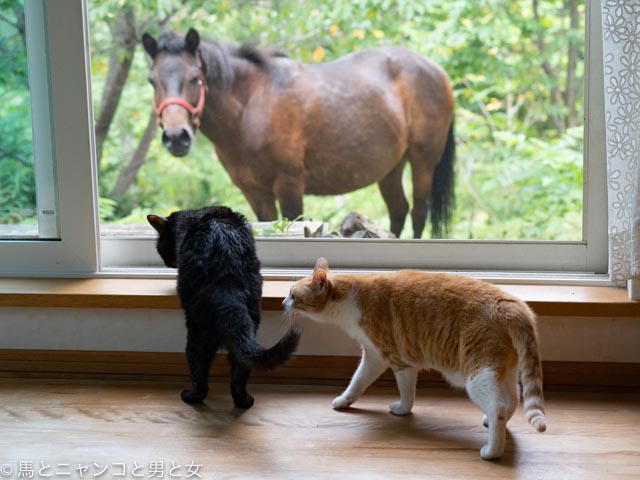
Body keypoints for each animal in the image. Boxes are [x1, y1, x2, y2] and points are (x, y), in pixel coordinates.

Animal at [142, 28, 455, 238]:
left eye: (195, 78)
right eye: (152, 80)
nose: (176, 137)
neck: (251, 107)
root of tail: (438, 71)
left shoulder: (289, 185)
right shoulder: (255, 193)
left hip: (423, 162)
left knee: (418, 212)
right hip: (390, 169)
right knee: (398, 211)